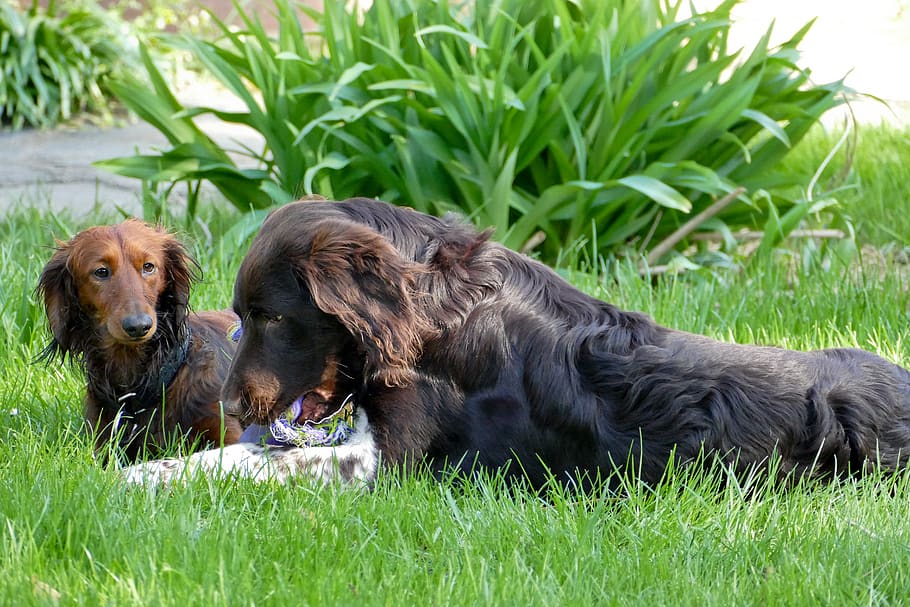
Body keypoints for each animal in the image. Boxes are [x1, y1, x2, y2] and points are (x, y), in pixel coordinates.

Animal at [119, 201, 910, 490]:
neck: (436, 318)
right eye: (239, 319)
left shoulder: (394, 462)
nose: (228, 402)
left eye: (274, 319)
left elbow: (258, 461)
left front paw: (142, 477)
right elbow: (244, 453)